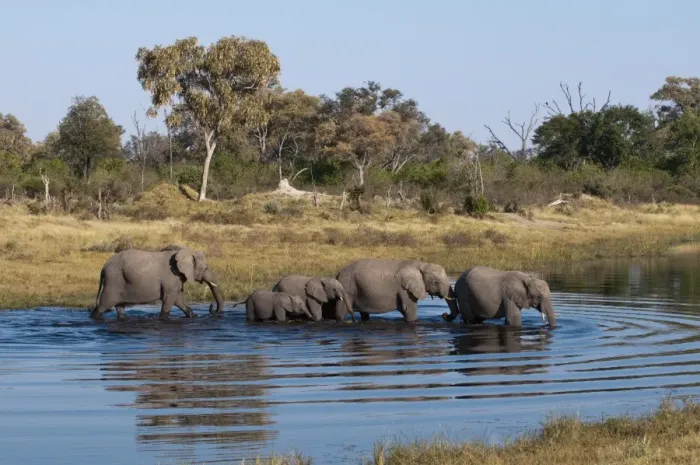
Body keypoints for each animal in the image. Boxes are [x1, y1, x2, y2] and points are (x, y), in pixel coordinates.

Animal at [90, 245, 223, 320]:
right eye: (206, 268)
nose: (211, 306)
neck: (184, 251)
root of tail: (104, 267)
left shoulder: (176, 280)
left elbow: (179, 300)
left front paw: (193, 317)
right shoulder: (171, 278)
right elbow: (169, 301)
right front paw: (163, 319)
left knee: (120, 308)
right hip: (113, 281)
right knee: (102, 306)